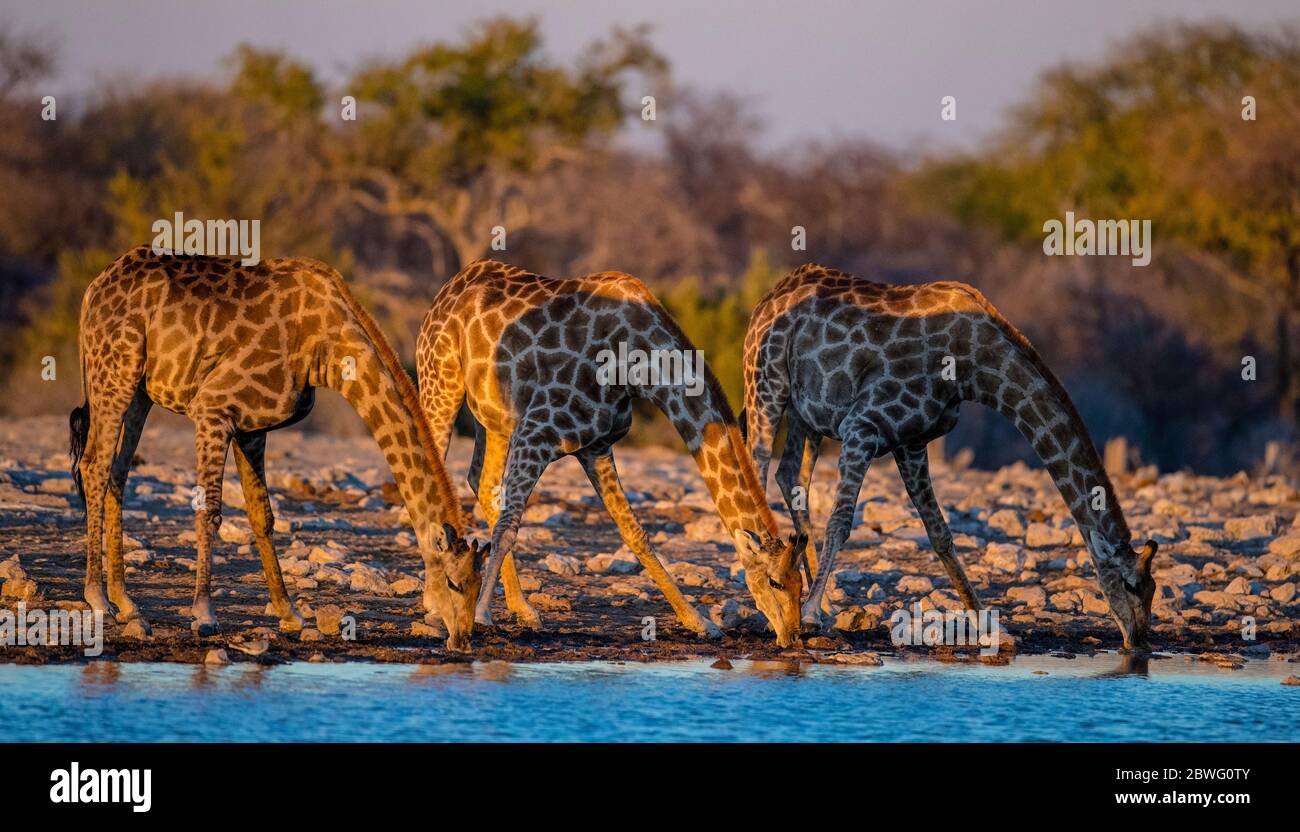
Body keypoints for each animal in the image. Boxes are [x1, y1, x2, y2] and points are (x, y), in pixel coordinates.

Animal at [68, 246, 483, 649]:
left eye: (479, 588)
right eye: (453, 582)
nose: (462, 640)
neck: (326, 349)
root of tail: (91, 291)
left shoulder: (253, 427)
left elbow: (262, 516)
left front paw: (290, 614)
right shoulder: (213, 407)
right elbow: (211, 510)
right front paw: (204, 614)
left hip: (139, 390)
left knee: (117, 474)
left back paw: (127, 602)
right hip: (115, 374)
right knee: (93, 466)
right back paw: (98, 597)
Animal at [416, 260, 807, 647]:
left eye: (801, 585)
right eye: (775, 581)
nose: (793, 635)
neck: (641, 369)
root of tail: (447, 291)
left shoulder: (596, 447)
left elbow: (636, 534)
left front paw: (700, 622)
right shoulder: (537, 430)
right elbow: (509, 524)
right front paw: (481, 613)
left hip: (494, 420)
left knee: (481, 481)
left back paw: (523, 609)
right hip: (441, 381)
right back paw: (435, 600)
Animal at [743, 264, 1157, 650]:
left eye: (1153, 588)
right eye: (1130, 584)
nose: (1138, 638)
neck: (972, 370)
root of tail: (769, 297)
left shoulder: (911, 442)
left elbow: (941, 534)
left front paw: (990, 626)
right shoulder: (863, 427)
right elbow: (841, 523)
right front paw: (810, 614)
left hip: (806, 413)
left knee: (790, 476)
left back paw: (819, 600)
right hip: (766, 384)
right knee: (758, 464)